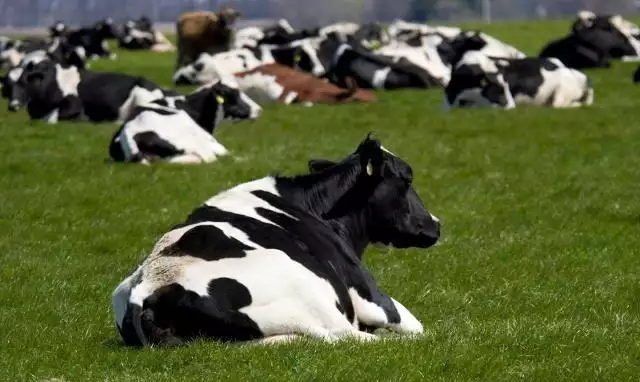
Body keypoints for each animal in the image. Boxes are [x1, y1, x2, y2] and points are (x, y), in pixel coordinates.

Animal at [111, 135, 440, 346]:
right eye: (407, 178)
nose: (436, 224)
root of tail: (147, 287)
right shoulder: (370, 296)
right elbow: (416, 326)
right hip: (307, 288)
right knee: (348, 336)